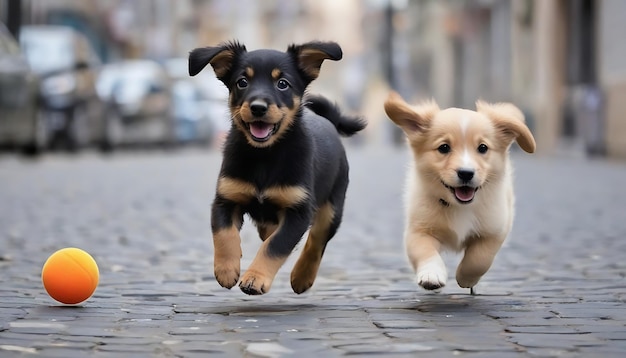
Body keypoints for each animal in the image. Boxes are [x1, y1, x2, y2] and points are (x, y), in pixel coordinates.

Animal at [190, 40, 366, 296]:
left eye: (282, 83)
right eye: (242, 82)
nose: (258, 107)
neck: (265, 155)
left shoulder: (299, 212)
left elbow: (275, 246)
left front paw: (255, 278)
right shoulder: (225, 199)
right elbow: (223, 234)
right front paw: (226, 269)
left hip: (332, 208)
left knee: (316, 240)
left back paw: (302, 276)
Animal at [382, 91, 532, 294]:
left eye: (482, 148)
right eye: (444, 147)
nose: (466, 173)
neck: (459, 206)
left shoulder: (495, 229)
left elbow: (479, 259)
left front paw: (466, 278)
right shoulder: (418, 229)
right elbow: (425, 251)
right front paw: (431, 275)